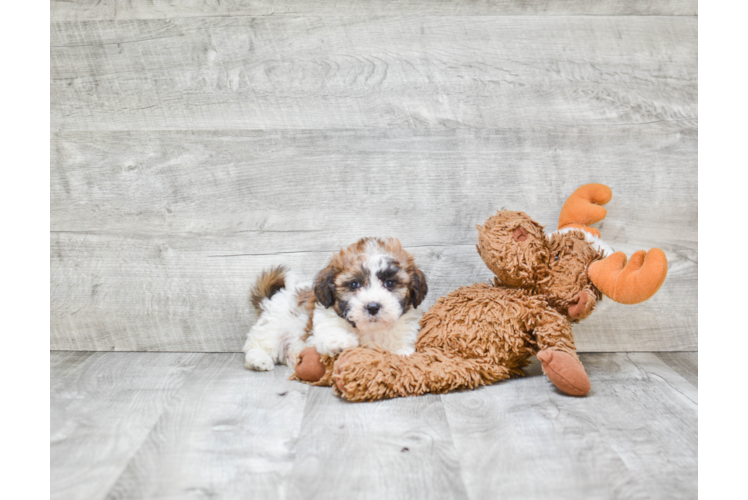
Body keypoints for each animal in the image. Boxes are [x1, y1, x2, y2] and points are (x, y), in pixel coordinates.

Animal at [241, 238, 424, 372]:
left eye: (390, 283)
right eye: (354, 285)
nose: (372, 306)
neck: (370, 330)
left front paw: (403, 355)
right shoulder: (324, 320)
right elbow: (331, 331)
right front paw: (340, 342)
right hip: (273, 328)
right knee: (258, 345)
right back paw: (259, 360)